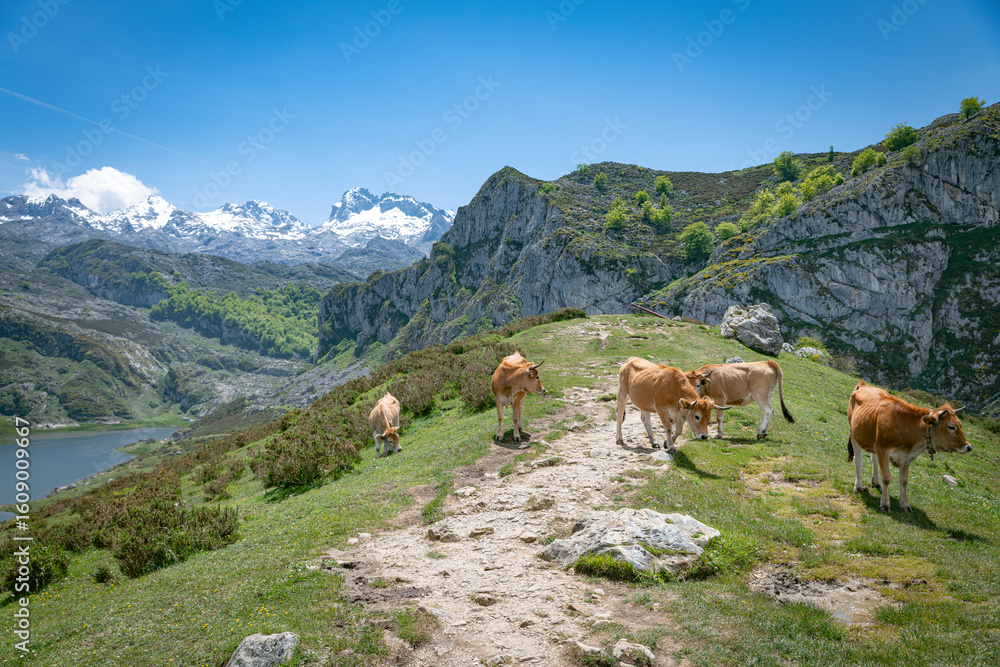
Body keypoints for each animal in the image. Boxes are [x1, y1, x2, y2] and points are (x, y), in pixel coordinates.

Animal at [847, 380, 971, 511]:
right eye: (951, 427)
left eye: (961, 425)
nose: (969, 447)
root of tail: (863, 384)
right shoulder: (883, 450)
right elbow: (886, 478)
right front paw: (885, 503)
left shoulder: (907, 456)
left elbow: (904, 480)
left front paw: (905, 504)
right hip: (853, 433)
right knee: (858, 461)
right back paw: (858, 487)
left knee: (874, 459)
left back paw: (875, 482)